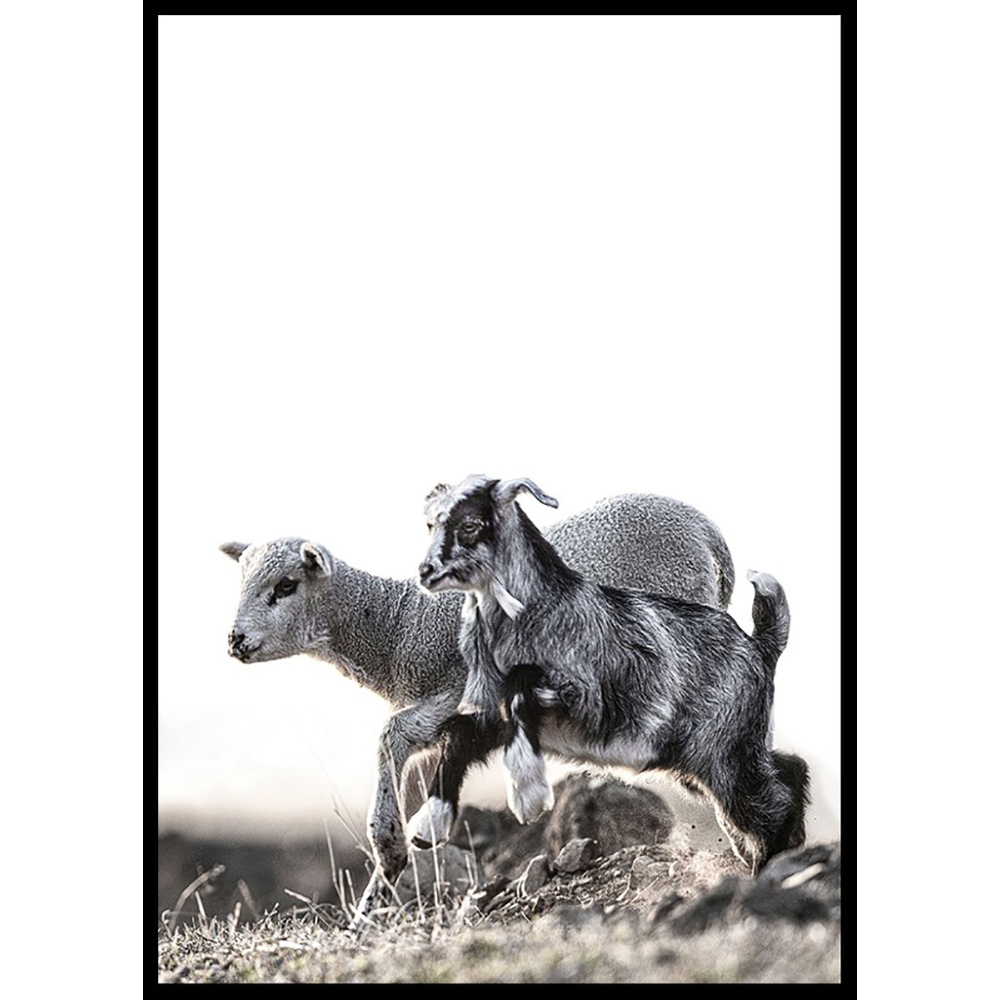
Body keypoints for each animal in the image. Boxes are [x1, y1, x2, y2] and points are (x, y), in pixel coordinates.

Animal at [220, 492, 735, 926]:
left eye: (286, 585)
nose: (235, 641)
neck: (397, 625)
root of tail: (706, 528)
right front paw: (373, 904)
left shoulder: (455, 690)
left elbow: (392, 737)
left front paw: (389, 859)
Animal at [418, 475, 810, 875]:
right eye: (431, 523)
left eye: (470, 525)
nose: (425, 573)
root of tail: (761, 644)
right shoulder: (485, 712)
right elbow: (458, 738)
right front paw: (427, 826)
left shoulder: (584, 698)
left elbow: (518, 692)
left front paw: (528, 795)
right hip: (710, 755)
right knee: (786, 770)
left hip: (725, 754)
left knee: (768, 802)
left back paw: (768, 866)